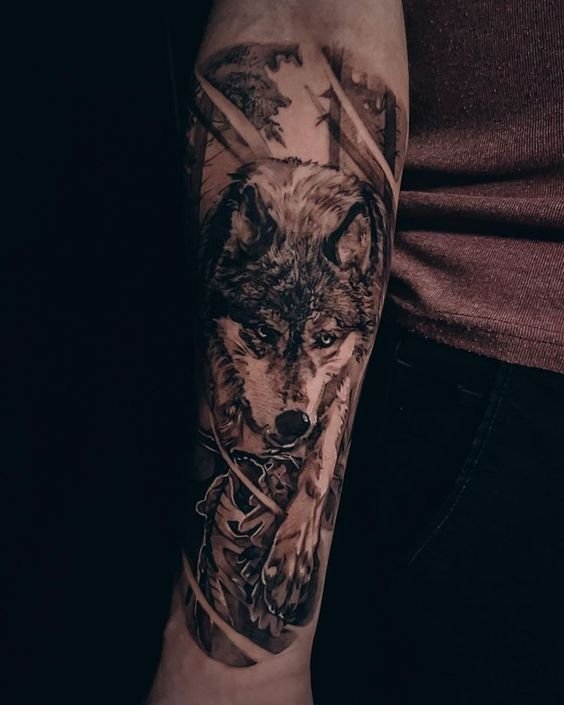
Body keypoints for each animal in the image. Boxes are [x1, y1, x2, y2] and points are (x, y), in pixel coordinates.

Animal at [186, 158, 388, 665]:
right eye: (262, 331)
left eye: (325, 338)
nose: (293, 424)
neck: (303, 217)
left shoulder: (344, 377)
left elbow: (319, 469)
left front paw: (291, 558)